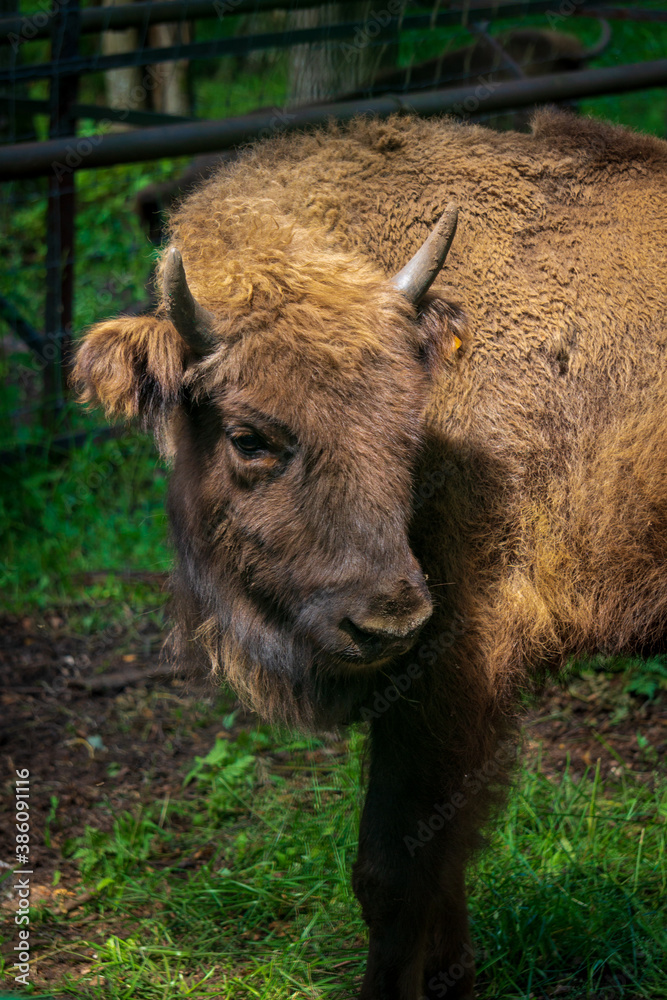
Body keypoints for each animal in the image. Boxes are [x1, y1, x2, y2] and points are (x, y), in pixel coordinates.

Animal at [74, 110, 667, 1000]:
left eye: (407, 424)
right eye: (248, 436)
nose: (385, 621)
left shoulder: (453, 660)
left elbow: (391, 868)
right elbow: (441, 853)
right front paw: (453, 976)